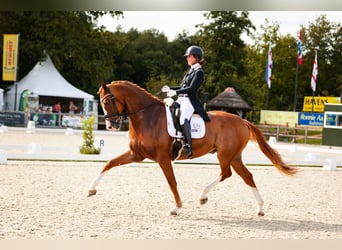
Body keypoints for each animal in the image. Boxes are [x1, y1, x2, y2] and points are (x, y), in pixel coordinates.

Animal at [88, 81, 296, 216]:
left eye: (107, 102)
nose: (111, 125)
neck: (147, 117)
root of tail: (243, 121)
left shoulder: (163, 158)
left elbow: (172, 182)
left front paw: (177, 207)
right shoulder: (136, 154)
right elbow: (109, 163)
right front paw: (91, 190)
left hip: (225, 155)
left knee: (226, 173)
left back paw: (203, 196)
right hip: (234, 156)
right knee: (246, 176)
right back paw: (259, 208)